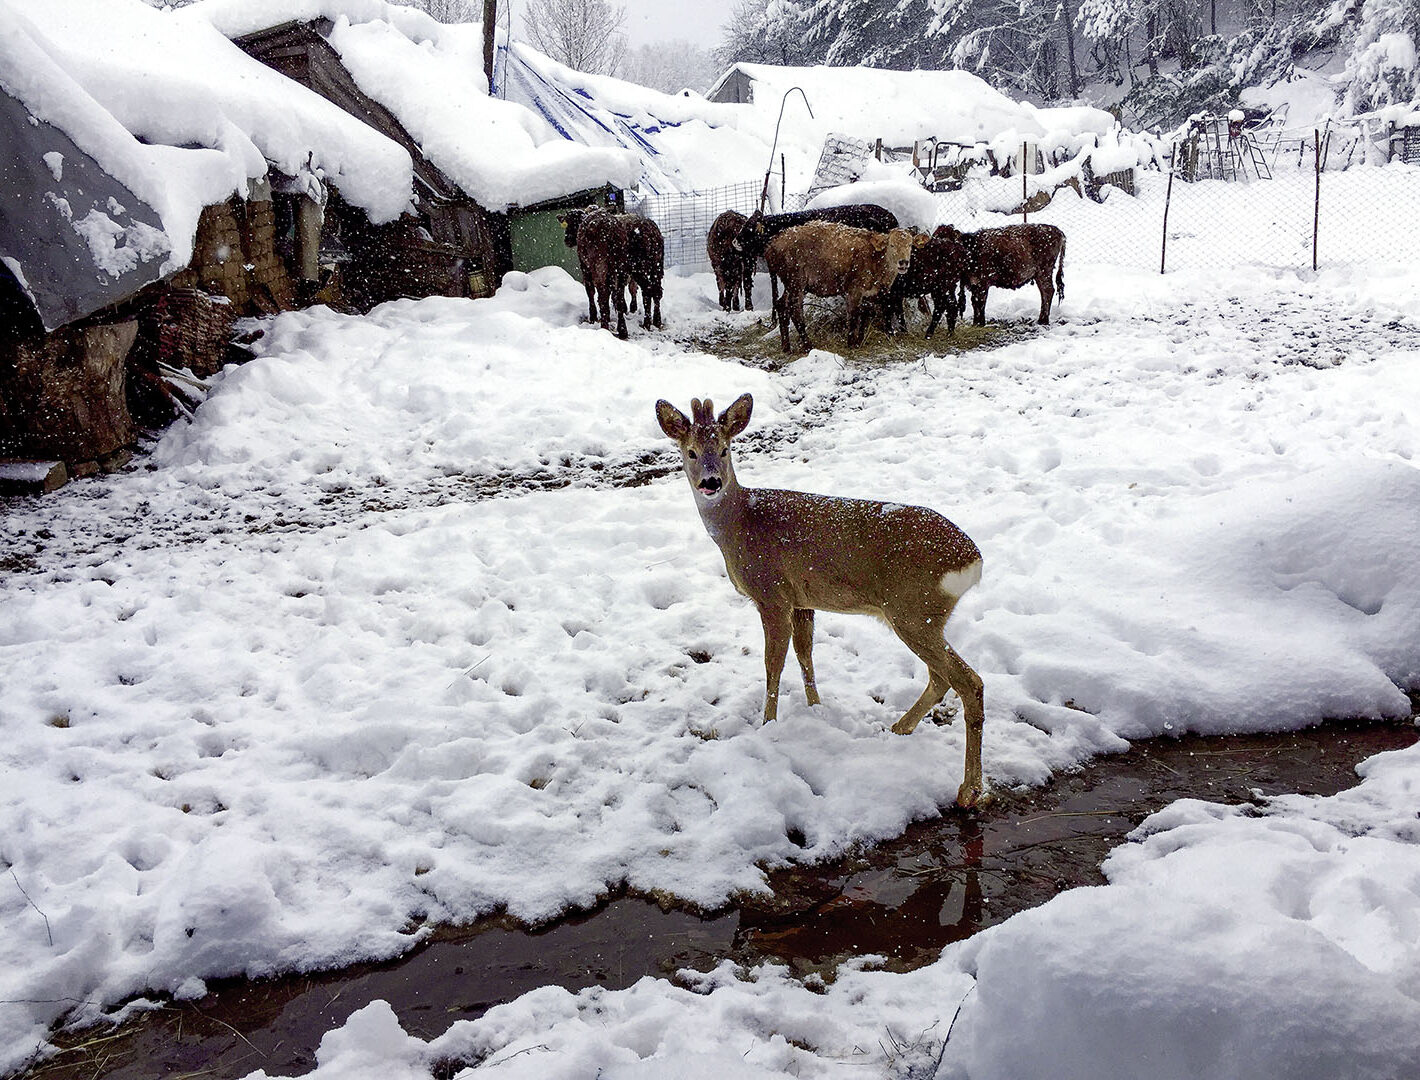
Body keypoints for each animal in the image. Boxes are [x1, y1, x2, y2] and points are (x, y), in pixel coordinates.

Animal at [764, 221, 915, 353]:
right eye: (892, 245)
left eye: (910, 245)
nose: (903, 262)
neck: (876, 261)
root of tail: (771, 247)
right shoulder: (854, 288)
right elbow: (853, 315)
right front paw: (851, 343)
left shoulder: (869, 292)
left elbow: (865, 315)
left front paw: (859, 340)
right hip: (796, 281)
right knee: (794, 310)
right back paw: (808, 345)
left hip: (792, 284)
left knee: (781, 305)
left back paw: (786, 347)